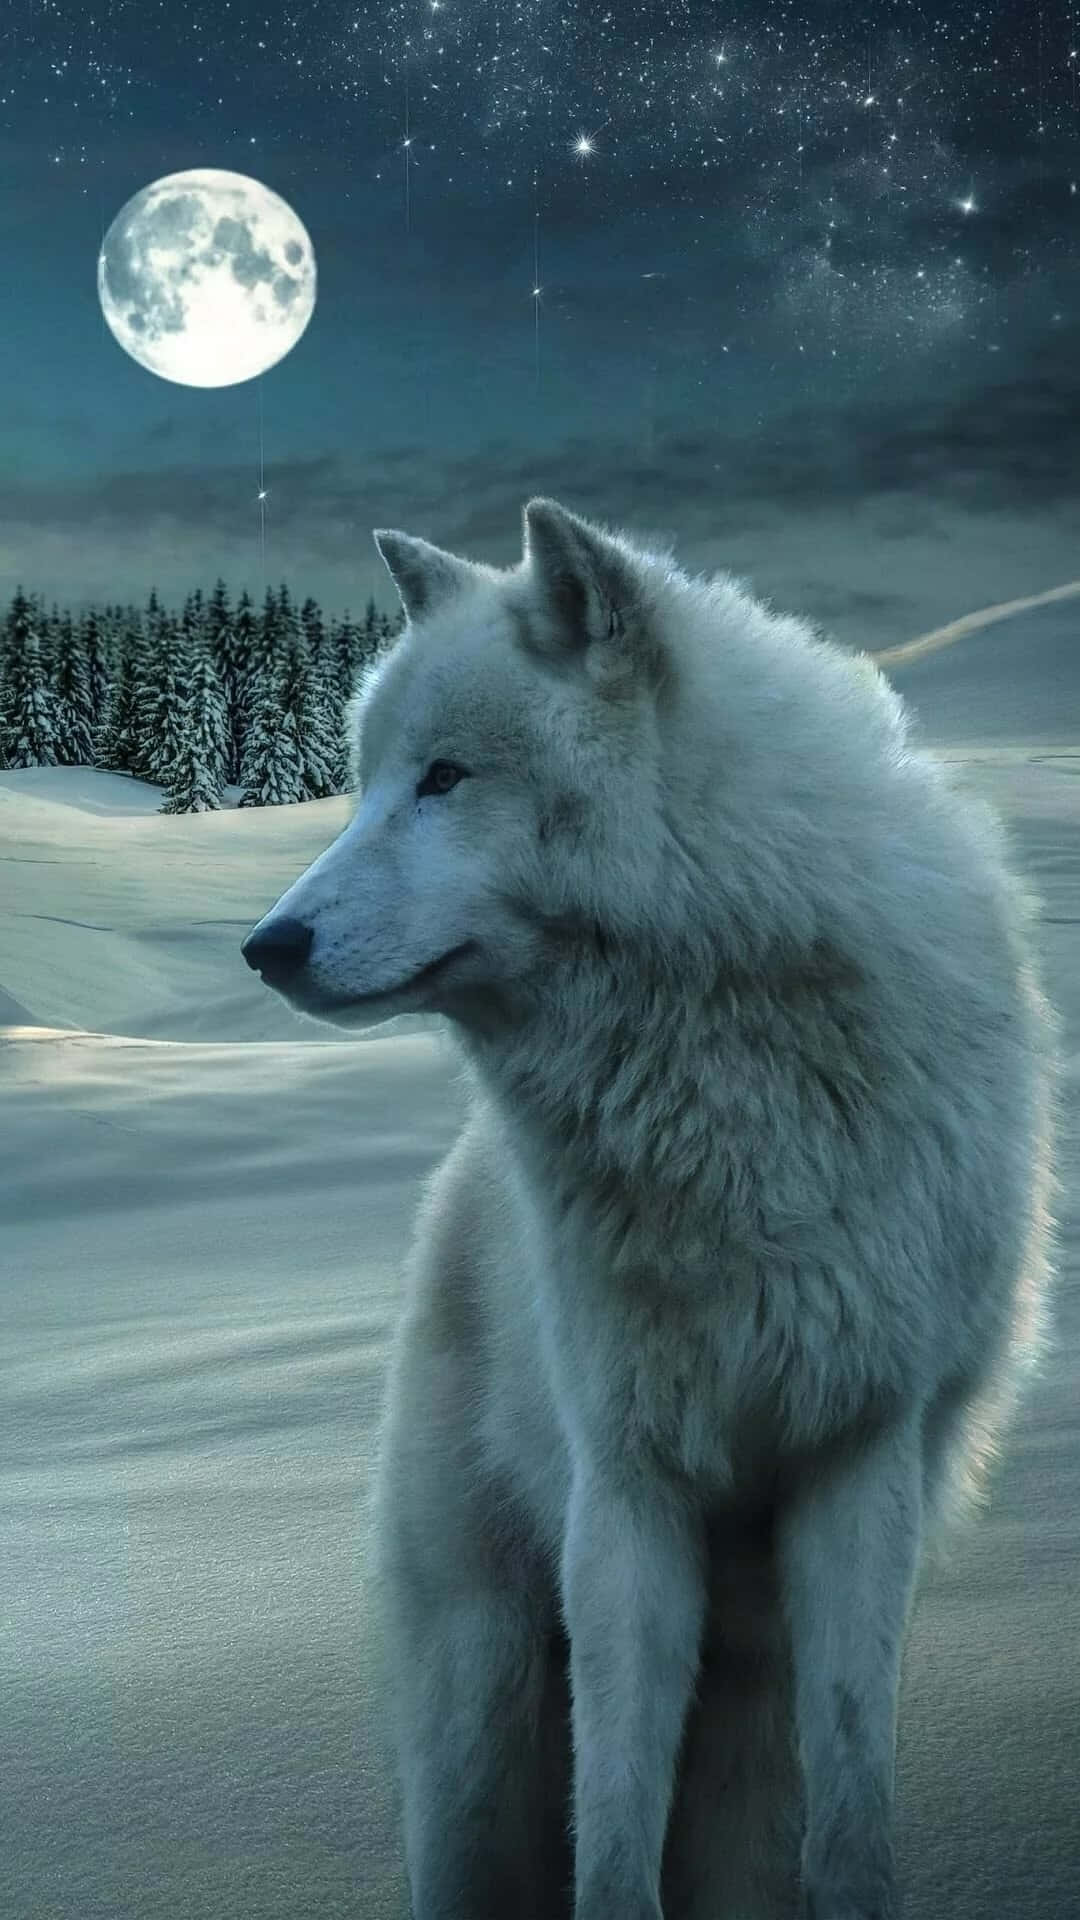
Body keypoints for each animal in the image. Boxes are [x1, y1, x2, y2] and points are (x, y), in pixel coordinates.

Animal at [241, 498, 1064, 1920]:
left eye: (445, 778)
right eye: (368, 780)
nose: (266, 946)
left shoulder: (861, 1456)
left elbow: (852, 1809)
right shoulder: (626, 1489)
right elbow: (615, 1832)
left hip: (748, 1703)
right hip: (480, 1706)